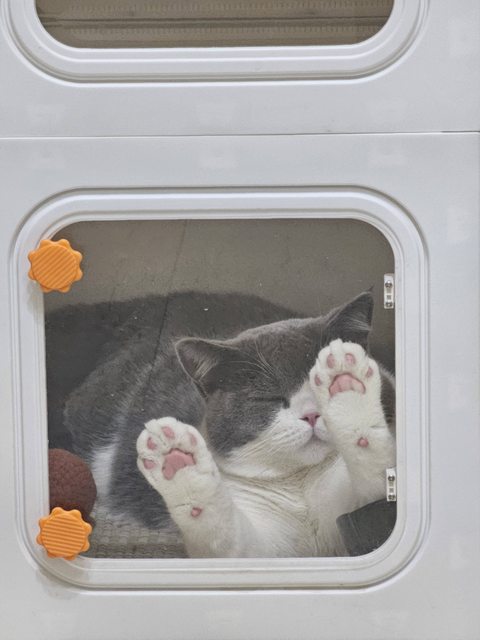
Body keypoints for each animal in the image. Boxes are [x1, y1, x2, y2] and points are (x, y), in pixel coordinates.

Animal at [48, 291, 395, 558]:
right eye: (268, 398)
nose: (311, 414)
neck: (300, 485)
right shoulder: (255, 547)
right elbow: (224, 535)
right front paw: (178, 459)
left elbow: (375, 471)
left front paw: (345, 380)